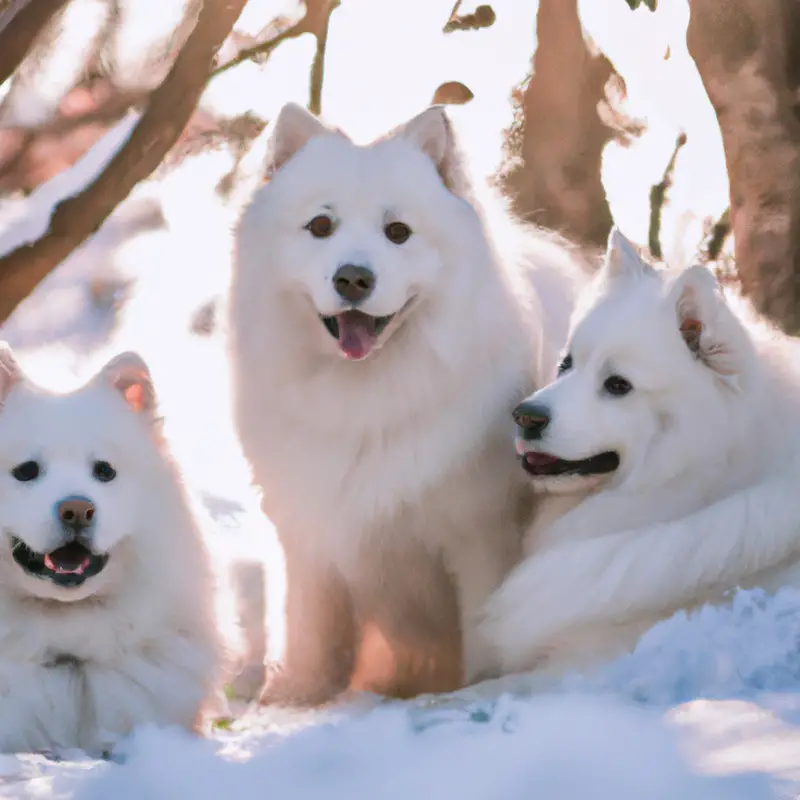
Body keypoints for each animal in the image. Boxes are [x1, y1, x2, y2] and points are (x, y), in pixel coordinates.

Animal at [227, 101, 588, 708]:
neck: (367, 394)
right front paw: (298, 696)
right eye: (320, 226)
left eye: (398, 232)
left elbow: (485, 619)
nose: (353, 278)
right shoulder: (311, 526)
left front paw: (479, 688)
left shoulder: (479, 531)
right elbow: (313, 626)